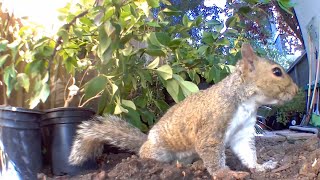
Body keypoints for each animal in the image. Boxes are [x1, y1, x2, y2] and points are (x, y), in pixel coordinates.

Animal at [69, 43, 298, 177]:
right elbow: (211, 151)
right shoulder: (212, 125)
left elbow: (247, 152)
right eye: (277, 72)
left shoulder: (242, 131)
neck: (246, 101)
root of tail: (146, 142)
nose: (296, 91)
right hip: (159, 150)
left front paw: (260, 167)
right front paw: (226, 173)